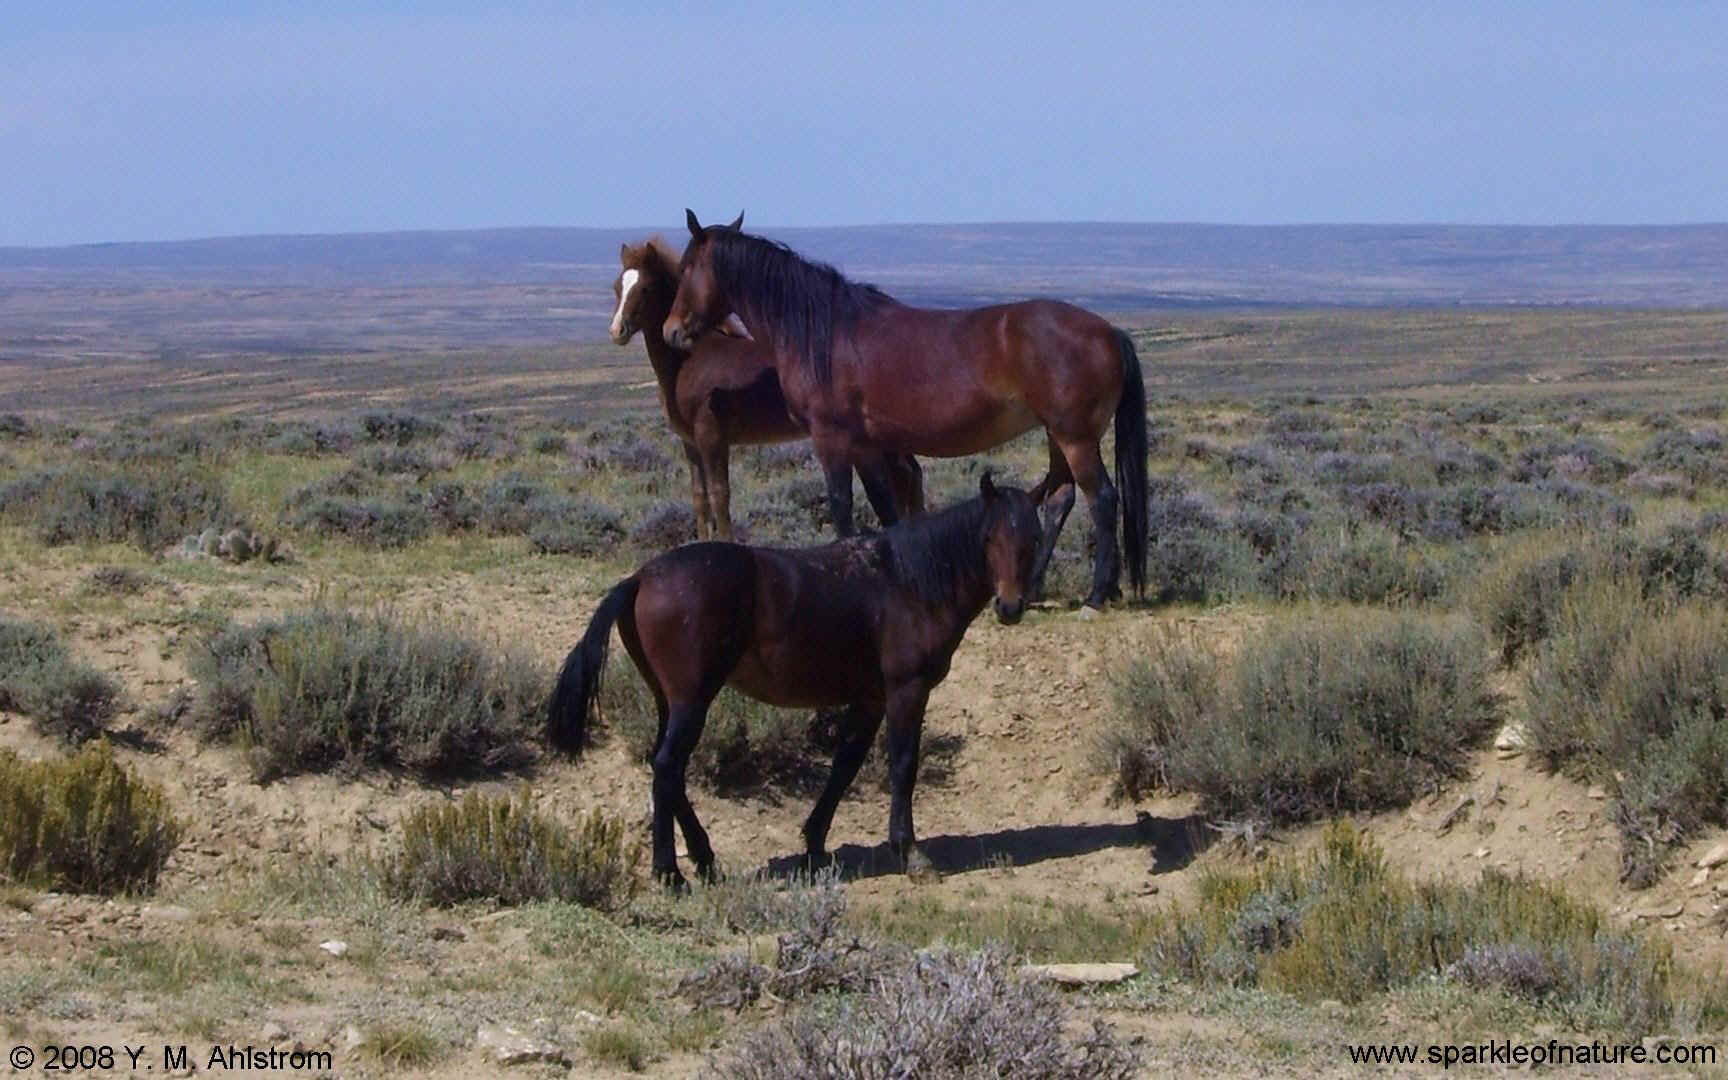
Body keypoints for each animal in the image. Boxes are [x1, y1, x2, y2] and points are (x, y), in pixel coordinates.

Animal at [552, 476, 1036, 891]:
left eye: (1032, 539)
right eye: (989, 538)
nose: (1010, 606)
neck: (907, 581)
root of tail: (640, 578)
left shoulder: (870, 699)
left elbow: (845, 766)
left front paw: (815, 842)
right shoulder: (906, 691)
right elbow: (902, 766)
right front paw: (910, 853)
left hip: (667, 701)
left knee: (665, 769)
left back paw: (704, 858)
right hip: (692, 701)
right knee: (668, 767)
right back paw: (670, 873)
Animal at [611, 236, 926, 539]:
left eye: (646, 288)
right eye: (617, 287)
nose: (617, 331)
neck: (688, 361)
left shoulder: (711, 438)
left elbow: (720, 496)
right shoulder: (689, 443)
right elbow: (700, 499)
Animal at [660, 210, 1147, 611]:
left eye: (685, 268)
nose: (671, 332)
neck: (823, 334)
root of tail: (1109, 331)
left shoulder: (831, 437)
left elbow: (842, 505)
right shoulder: (868, 444)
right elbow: (886, 508)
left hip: (1075, 436)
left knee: (1102, 499)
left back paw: (1097, 595)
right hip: (1056, 434)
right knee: (1061, 498)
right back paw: (1035, 588)